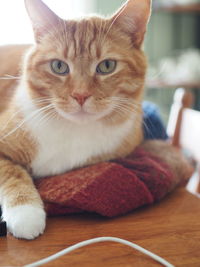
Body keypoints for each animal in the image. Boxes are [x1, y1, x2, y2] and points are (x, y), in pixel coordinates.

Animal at [0, 0, 151, 240]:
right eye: (59, 66)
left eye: (107, 66)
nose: (80, 95)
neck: (74, 130)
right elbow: (12, 173)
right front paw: (25, 212)